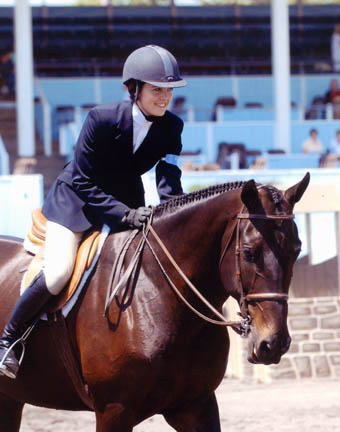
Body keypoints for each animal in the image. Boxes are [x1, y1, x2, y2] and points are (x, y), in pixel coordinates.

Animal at [0, 174, 310, 430]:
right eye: (248, 252)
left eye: (296, 250)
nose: (273, 344)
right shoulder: (114, 410)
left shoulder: (196, 405)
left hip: (10, 400)